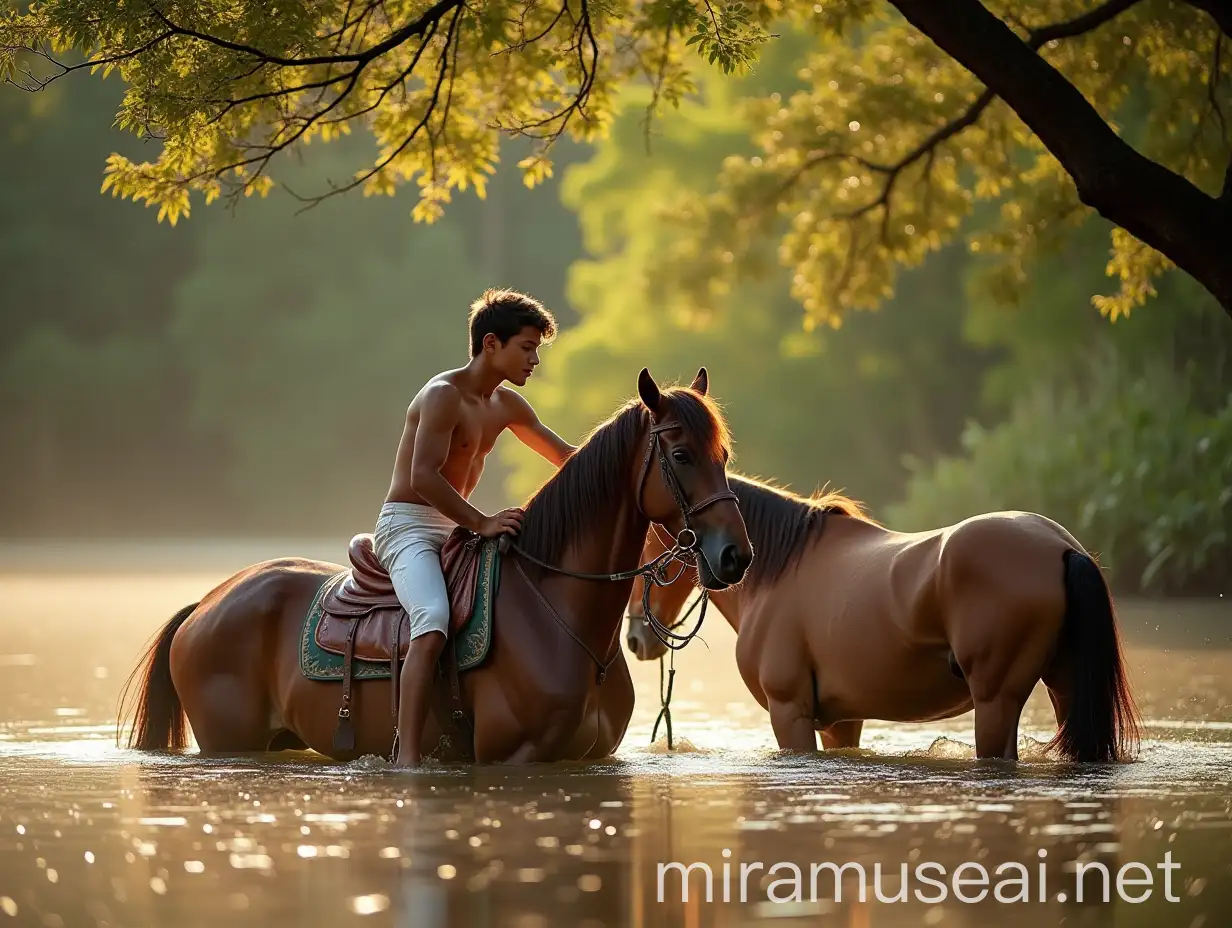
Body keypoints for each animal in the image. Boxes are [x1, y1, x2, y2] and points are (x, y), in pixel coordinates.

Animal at [120, 364, 749, 764]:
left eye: (723, 454)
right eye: (682, 454)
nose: (735, 554)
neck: (558, 610)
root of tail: (206, 602)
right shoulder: (514, 759)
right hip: (230, 740)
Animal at [630, 473, 1138, 764]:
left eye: (645, 543)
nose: (637, 638)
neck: (780, 568)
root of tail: (1062, 547)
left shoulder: (789, 712)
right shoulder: (840, 721)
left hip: (997, 701)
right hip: (1065, 688)